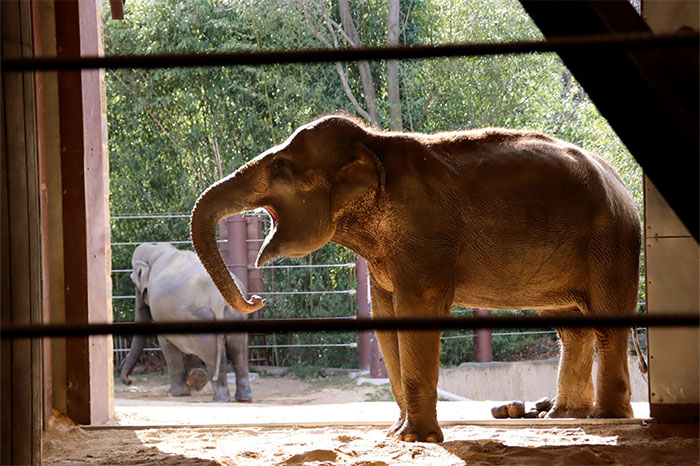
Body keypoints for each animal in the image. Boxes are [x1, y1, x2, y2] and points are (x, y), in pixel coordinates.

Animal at [119, 243, 253, 403]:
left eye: (134, 281)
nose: (129, 381)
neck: (157, 249)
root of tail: (218, 297)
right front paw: (193, 380)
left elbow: (168, 349)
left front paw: (175, 393)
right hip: (234, 315)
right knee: (238, 351)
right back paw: (243, 398)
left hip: (202, 316)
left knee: (213, 355)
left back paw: (220, 399)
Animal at [190, 115, 641, 441]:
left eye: (281, 167)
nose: (257, 301)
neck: (374, 142)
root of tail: (620, 181)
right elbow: (385, 317)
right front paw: (394, 435)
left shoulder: (424, 234)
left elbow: (417, 309)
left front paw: (415, 440)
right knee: (572, 327)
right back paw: (563, 415)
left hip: (611, 242)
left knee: (606, 325)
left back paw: (605, 419)